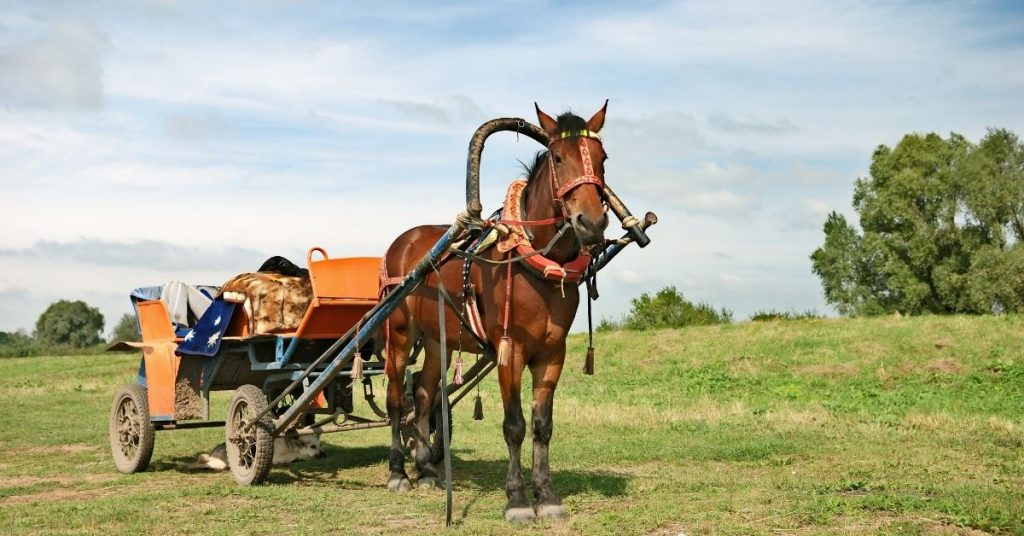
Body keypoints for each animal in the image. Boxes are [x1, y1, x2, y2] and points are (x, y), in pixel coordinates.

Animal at [381, 102, 610, 522]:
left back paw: (426, 469)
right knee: (395, 399)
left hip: (437, 340)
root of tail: (403, 242)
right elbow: (515, 425)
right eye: (557, 157)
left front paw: (546, 495)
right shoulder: (510, 351)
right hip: (400, 334)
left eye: (602, 159)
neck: (534, 262)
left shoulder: (552, 355)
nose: (592, 222)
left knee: (422, 395)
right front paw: (517, 499)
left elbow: (542, 426)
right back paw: (397, 472)